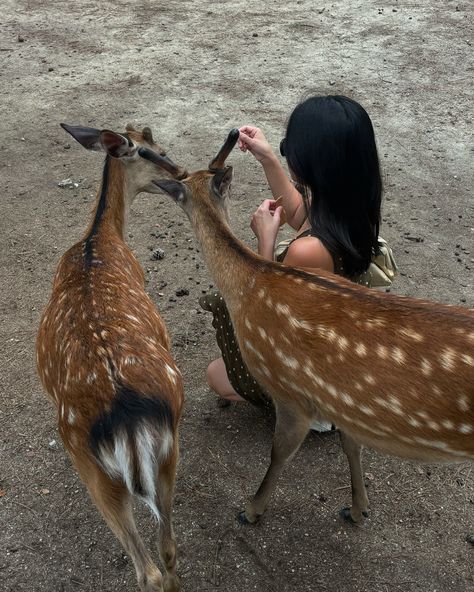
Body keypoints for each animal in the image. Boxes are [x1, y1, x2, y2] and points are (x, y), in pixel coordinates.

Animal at [35, 122, 187, 588]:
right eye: (152, 150)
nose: (181, 172)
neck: (98, 238)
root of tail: (128, 415)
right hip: (166, 453)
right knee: (166, 551)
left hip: (94, 468)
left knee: (148, 567)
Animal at [142, 130, 474, 528]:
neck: (248, 287)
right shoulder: (339, 399)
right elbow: (351, 443)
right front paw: (358, 507)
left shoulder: (287, 388)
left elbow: (280, 453)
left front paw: (251, 509)